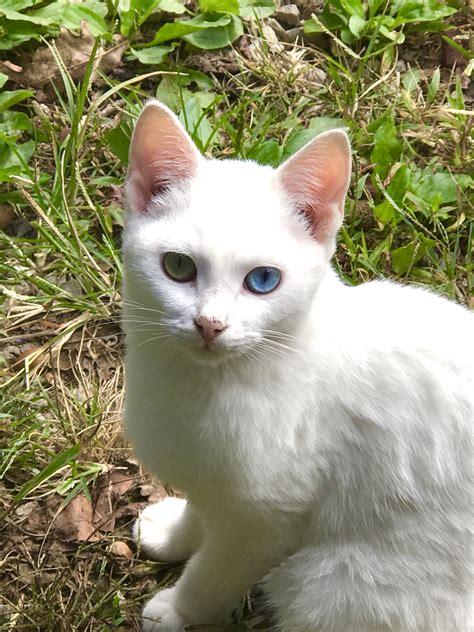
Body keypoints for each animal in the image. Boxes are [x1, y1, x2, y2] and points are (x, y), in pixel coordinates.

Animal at [123, 101, 474, 628]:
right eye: (178, 267)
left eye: (263, 280)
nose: (210, 324)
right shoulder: (214, 481)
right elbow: (201, 513)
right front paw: (173, 533)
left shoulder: (263, 524)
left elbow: (214, 571)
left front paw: (180, 610)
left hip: (330, 582)